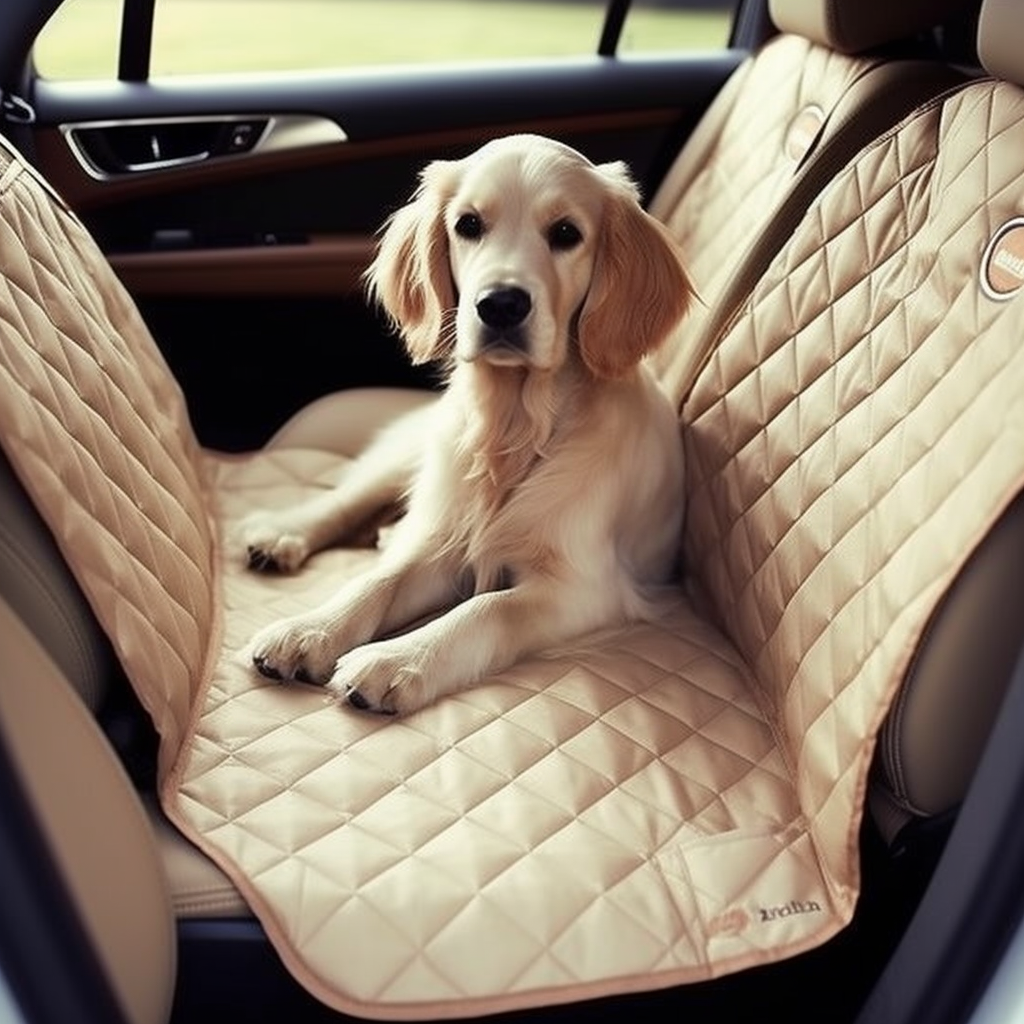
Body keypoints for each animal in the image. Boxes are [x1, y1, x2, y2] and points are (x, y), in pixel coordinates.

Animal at [243, 134, 692, 712]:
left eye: (566, 233)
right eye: (469, 225)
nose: (500, 305)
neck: (517, 423)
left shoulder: (586, 588)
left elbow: (488, 609)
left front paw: (395, 659)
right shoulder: (445, 540)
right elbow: (379, 582)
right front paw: (309, 631)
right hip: (418, 458)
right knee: (348, 501)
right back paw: (283, 534)